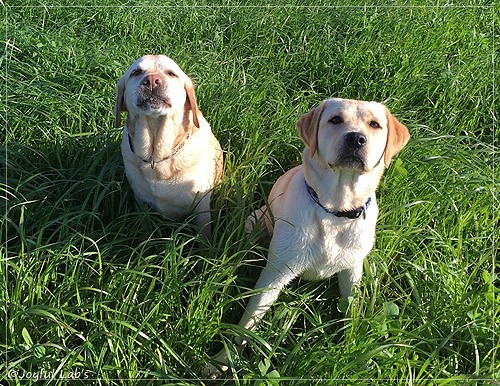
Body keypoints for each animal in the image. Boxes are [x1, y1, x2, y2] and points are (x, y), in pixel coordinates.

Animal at [114, 55, 224, 235]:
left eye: (171, 73)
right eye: (136, 72)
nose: (152, 80)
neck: (156, 157)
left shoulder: (201, 206)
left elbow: (204, 236)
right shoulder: (141, 202)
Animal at [205, 96, 408, 376]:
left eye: (374, 124)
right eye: (335, 120)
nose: (356, 139)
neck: (336, 211)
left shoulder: (352, 270)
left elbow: (352, 310)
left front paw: (352, 347)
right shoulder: (276, 273)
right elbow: (248, 321)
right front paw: (223, 359)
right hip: (254, 221)